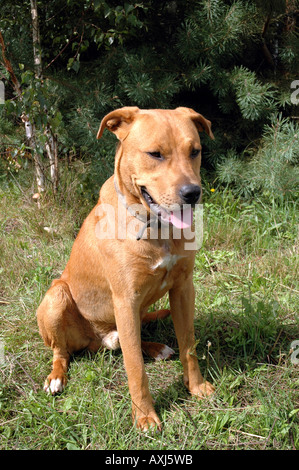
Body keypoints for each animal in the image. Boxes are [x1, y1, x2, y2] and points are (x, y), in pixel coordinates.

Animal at [37, 105, 216, 430]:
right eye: (155, 153)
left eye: (195, 151)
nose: (192, 193)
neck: (156, 228)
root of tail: (97, 341)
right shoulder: (125, 299)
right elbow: (134, 367)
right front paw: (145, 415)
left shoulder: (184, 289)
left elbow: (189, 345)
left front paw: (196, 387)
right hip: (57, 297)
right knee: (62, 351)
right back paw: (57, 377)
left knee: (133, 338)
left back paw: (156, 347)